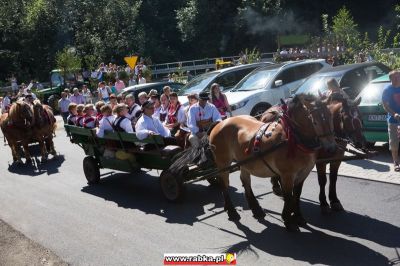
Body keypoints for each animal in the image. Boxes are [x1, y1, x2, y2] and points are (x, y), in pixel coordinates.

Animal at [170, 94, 336, 231]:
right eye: (314, 121)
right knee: (224, 184)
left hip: (244, 162)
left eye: (330, 116)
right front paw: (288, 220)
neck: (293, 137)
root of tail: (219, 123)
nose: (331, 148)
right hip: (223, 162)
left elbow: (297, 195)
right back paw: (232, 211)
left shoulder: (303, 173)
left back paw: (255, 208)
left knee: (245, 181)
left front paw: (299, 217)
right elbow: (289, 196)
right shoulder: (287, 175)